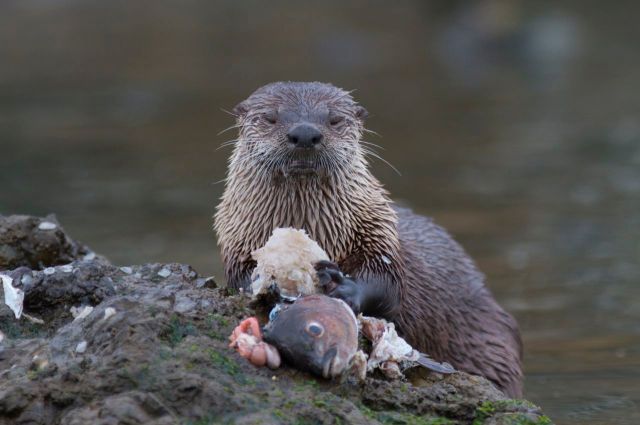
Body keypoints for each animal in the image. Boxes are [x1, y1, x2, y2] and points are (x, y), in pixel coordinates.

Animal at [214, 82, 523, 397]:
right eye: (271, 117)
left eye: (334, 119)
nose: (305, 133)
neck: (313, 229)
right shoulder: (237, 239)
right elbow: (239, 278)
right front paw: (269, 282)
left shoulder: (377, 231)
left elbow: (388, 281)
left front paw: (345, 287)